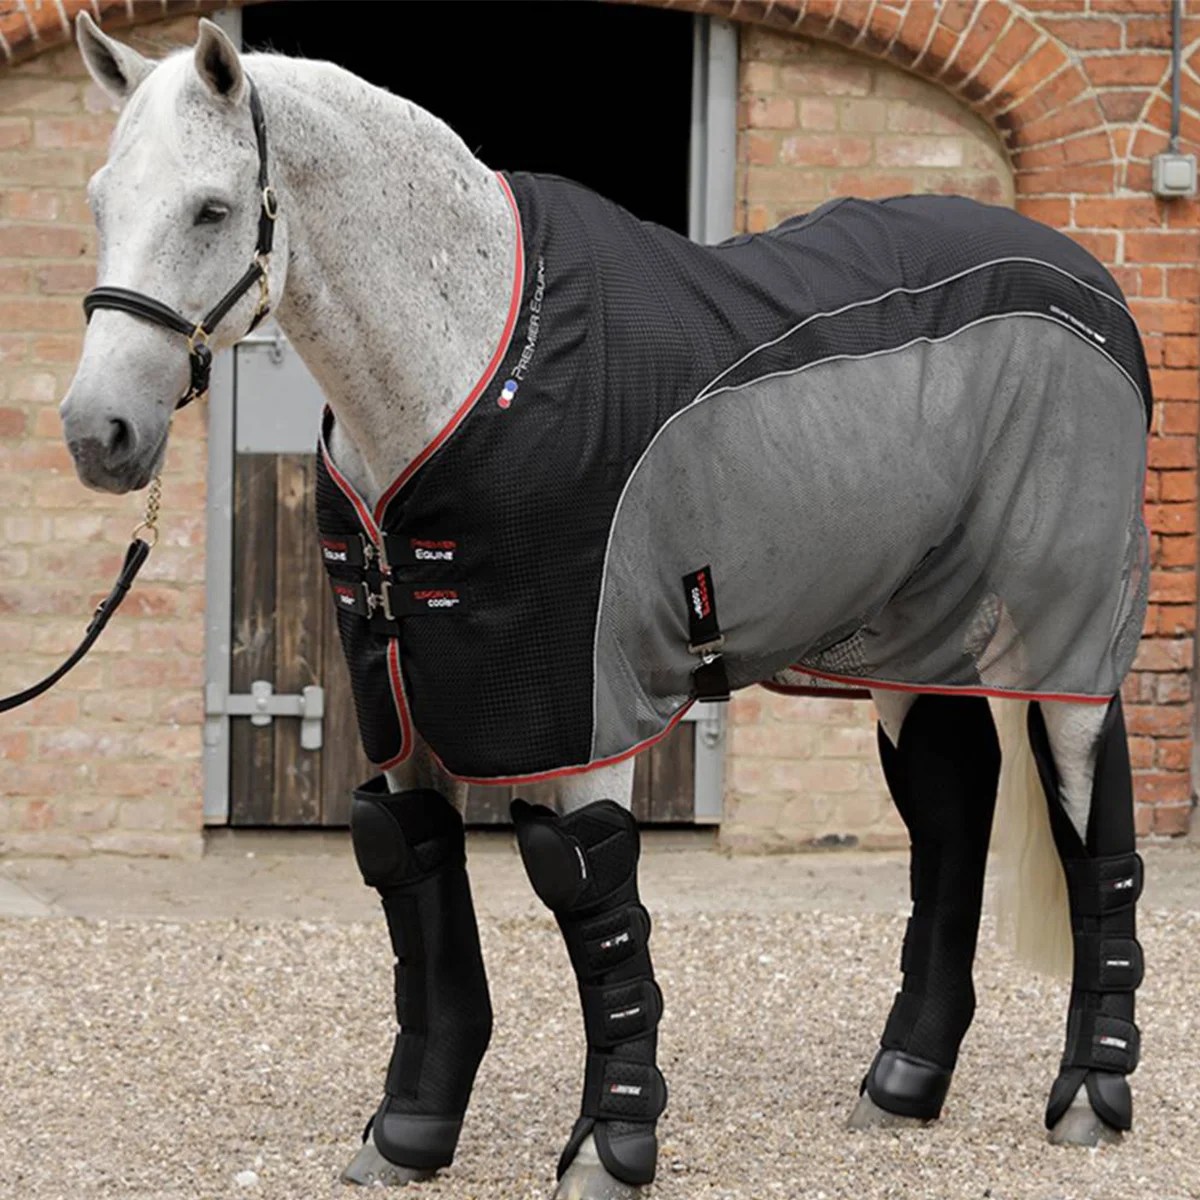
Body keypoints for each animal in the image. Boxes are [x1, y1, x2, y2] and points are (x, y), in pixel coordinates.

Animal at [65, 16, 1149, 1198]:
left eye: (213, 209)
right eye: (101, 201)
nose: (97, 432)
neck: (466, 373)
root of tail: (1090, 280)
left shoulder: (581, 703)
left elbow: (592, 902)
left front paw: (611, 1145)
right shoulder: (400, 704)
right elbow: (414, 873)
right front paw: (408, 1133)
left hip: (1065, 625)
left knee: (1091, 815)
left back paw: (1091, 1093)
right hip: (910, 636)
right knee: (949, 810)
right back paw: (904, 1083)